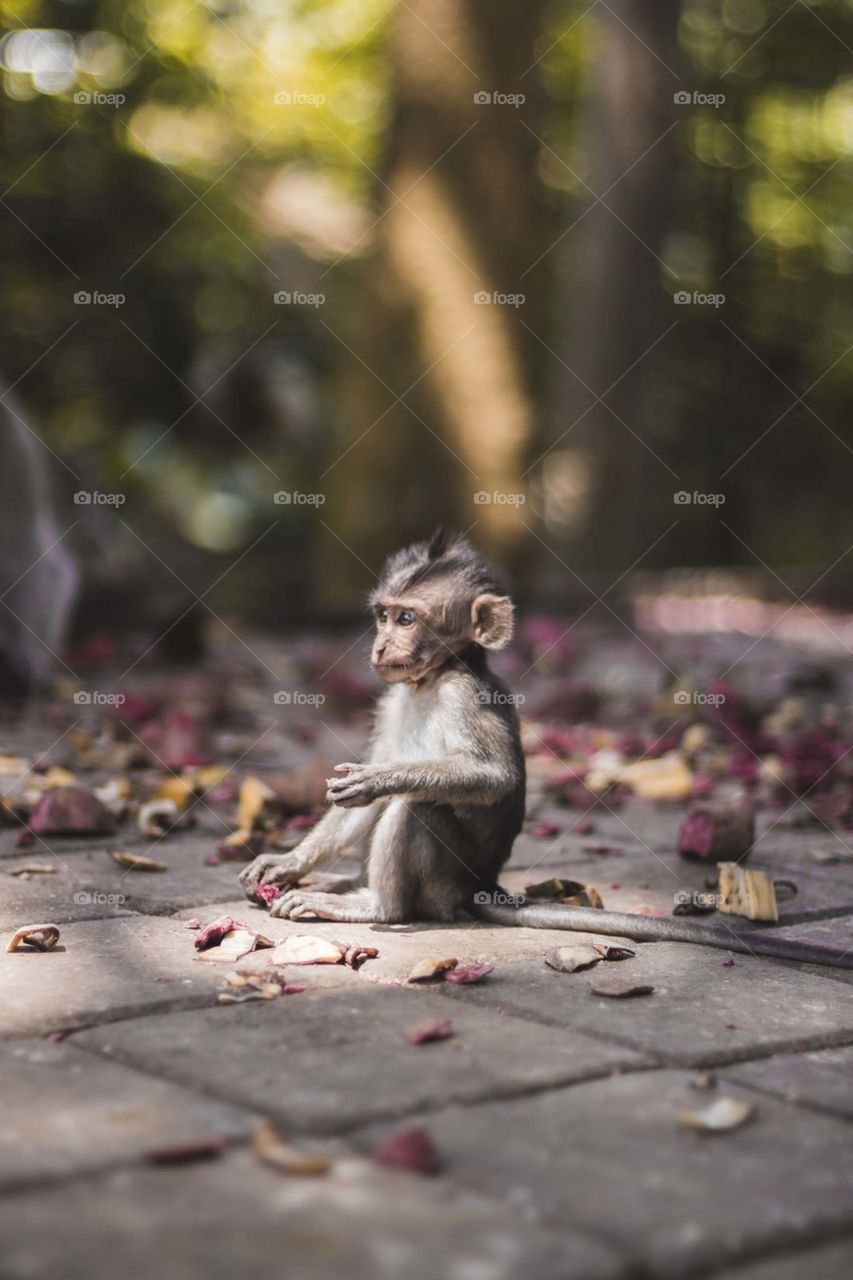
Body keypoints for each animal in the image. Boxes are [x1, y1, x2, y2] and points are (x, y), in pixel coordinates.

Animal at [240, 530, 853, 970]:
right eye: (382, 615)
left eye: (407, 618)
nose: (381, 645)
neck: (431, 680)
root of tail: (483, 887)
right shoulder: (393, 698)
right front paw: (287, 860)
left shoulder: (465, 696)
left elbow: (492, 778)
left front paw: (379, 779)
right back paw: (339, 882)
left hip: (445, 884)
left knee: (418, 808)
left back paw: (372, 904)